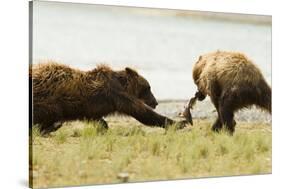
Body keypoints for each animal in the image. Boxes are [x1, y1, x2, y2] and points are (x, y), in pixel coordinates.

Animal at [30, 62, 184, 134]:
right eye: (148, 88)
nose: (155, 102)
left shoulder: (92, 108)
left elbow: (97, 119)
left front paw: (103, 127)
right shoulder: (118, 96)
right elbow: (142, 113)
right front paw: (179, 123)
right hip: (49, 100)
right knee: (50, 112)